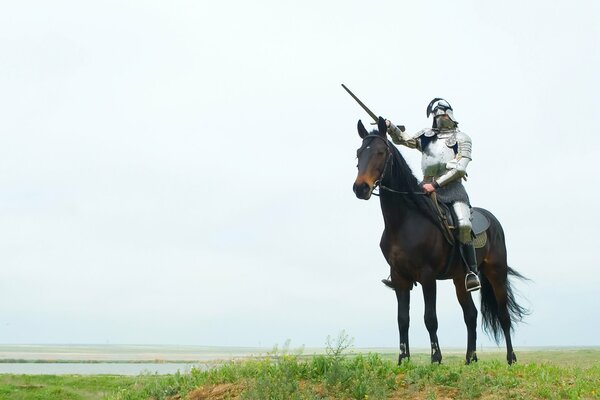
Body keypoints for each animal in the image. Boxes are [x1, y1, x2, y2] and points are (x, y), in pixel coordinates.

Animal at [354, 116, 528, 366]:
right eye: (359, 153)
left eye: (380, 152)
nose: (360, 188)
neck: (404, 220)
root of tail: (493, 221)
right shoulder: (399, 278)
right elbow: (402, 319)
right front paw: (403, 359)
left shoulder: (427, 276)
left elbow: (430, 318)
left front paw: (436, 358)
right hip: (460, 280)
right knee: (471, 315)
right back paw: (470, 358)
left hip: (496, 273)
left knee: (503, 315)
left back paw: (511, 358)